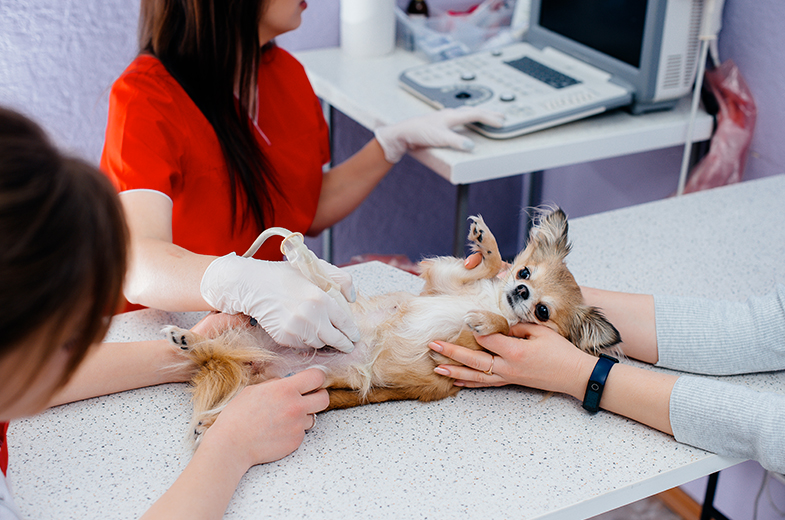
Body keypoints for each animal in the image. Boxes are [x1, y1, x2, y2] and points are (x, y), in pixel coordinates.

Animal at [164, 209, 620, 444]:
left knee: (231, 390)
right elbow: (486, 265)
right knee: (218, 349)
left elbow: (501, 328)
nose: (521, 291)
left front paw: (489, 319)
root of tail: (260, 364)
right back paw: (188, 338)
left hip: (290, 387)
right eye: (524, 272)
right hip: (256, 335)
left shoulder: (466, 348)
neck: (490, 300)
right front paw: (486, 241)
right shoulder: (443, 281)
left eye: (543, 312)